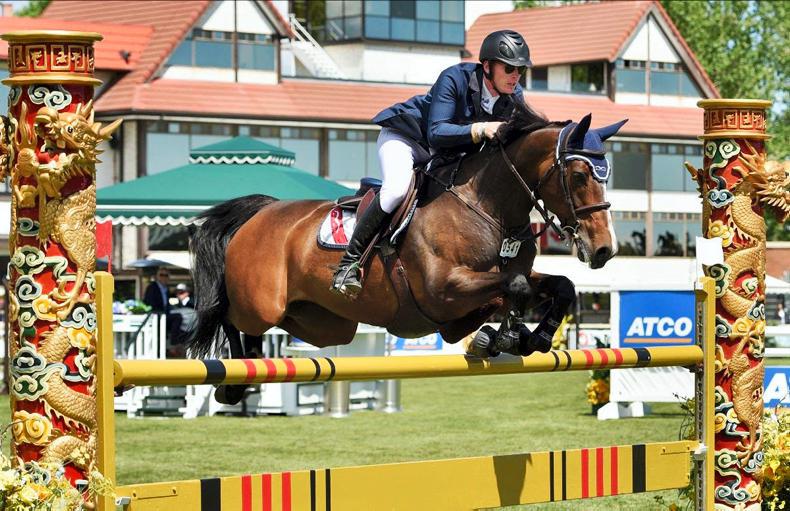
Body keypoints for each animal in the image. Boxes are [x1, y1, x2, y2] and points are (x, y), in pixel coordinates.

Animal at [187, 102, 627, 403]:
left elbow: (557, 285)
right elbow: (514, 286)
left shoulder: (474, 294)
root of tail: (262, 211)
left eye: (607, 175)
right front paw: (508, 335)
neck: (487, 207)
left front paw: (525, 337)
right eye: (580, 175)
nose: (604, 249)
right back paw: (233, 384)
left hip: (325, 323)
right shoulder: (443, 289)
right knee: (229, 316)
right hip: (261, 305)